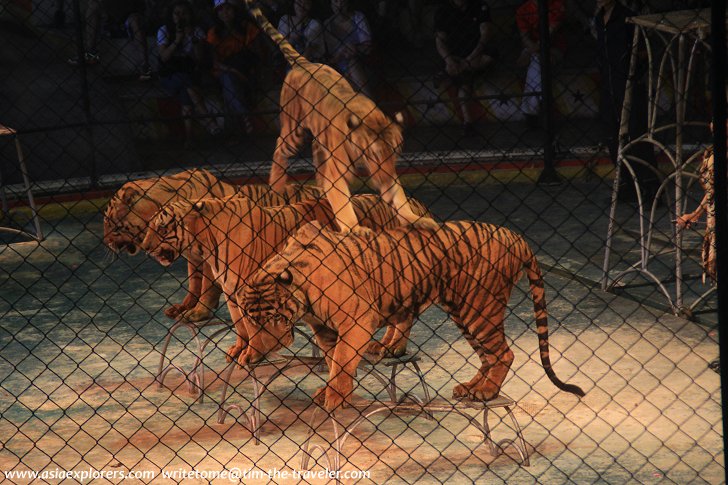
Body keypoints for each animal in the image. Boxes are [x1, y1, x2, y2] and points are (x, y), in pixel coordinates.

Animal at [102, 168, 322, 324]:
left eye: (110, 224)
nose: (106, 242)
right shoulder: (194, 259)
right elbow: (194, 283)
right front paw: (183, 307)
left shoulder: (211, 258)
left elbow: (206, 286)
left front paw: (197, 312)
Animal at [141, 195, 432, 364]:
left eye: (162, 227)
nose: (143, 248)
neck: (204, 243)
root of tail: (415, 204)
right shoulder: (233, 294)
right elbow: (241, 327)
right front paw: (238, 350)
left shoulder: (249, 293)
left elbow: (252, 329)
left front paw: (252, 355)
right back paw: (384, 345)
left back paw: (394, 348)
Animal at [239, 221, 584, 410]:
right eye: (251, 321)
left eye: (272, 318)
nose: (254, 354)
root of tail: (516, 236)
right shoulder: (324, 329)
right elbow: (333, 359)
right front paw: (332, 391)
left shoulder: (356, 321)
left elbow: (342, 360)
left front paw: (335, 396)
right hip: (465, 313)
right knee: (489, 356)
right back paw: (471, 387)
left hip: (478, 309)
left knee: (504, 353)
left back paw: (485, 392)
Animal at [242, 0, 436, 233]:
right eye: (374, 154)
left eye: (395, 153)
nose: (384, 183)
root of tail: (305, 63)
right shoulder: (337, 171)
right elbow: (343, 203)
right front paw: (354, 228)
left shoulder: (388, 171)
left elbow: (398, 195)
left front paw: (416, 219)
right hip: (293, 129)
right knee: (280, 145)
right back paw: (277, 185)